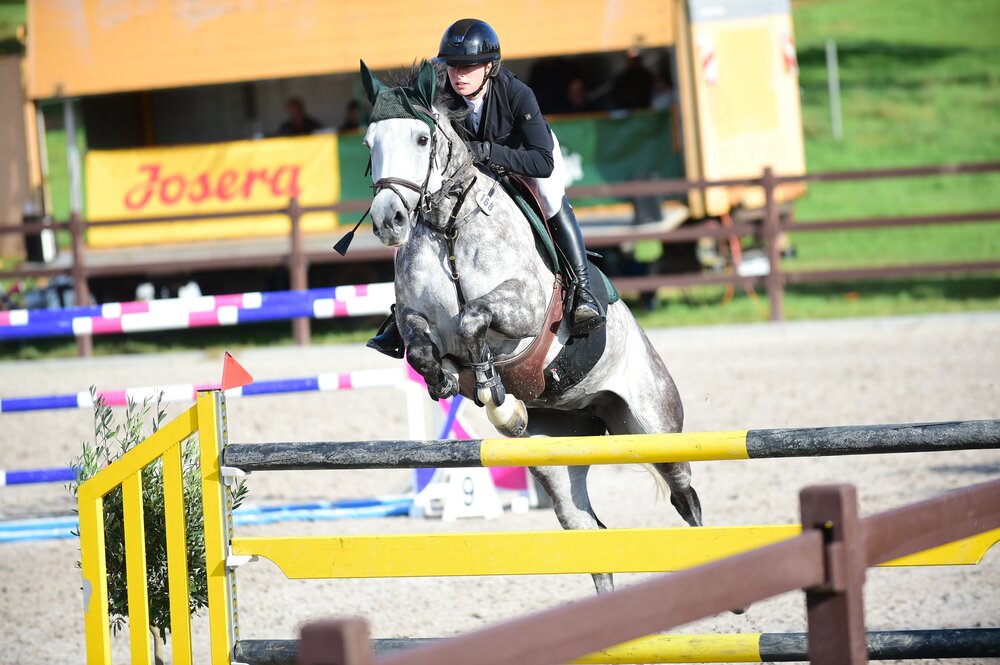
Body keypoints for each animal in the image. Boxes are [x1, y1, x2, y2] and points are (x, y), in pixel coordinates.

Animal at [358, 60, 702, 593]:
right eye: (369, 143)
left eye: (421, 138)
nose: (389, 220)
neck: (448, 225)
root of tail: (593, 412)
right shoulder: (414, 318)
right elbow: (420, 348)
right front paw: (453, 382)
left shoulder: (523, 309)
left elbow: (473, 319)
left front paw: (490, 388)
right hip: (557, 454)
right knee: (586, 529)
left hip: (656, 427)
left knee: (685, 495)